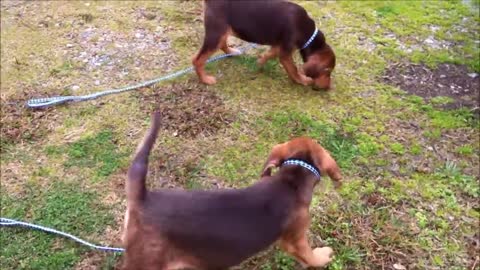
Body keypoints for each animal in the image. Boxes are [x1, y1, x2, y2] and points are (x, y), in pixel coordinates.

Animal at [193, 0, 336, 89]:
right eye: (327, 71)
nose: (328, 87)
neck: (306, 32)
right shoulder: (285, 53)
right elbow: (294, 70)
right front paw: (303, 80)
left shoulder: (279, 46)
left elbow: (269, 54)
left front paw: (260, 63)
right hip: (216, 32)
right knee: (197, 60)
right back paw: (205, 79)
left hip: (222, 31)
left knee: (222, 43)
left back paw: (232, 52)